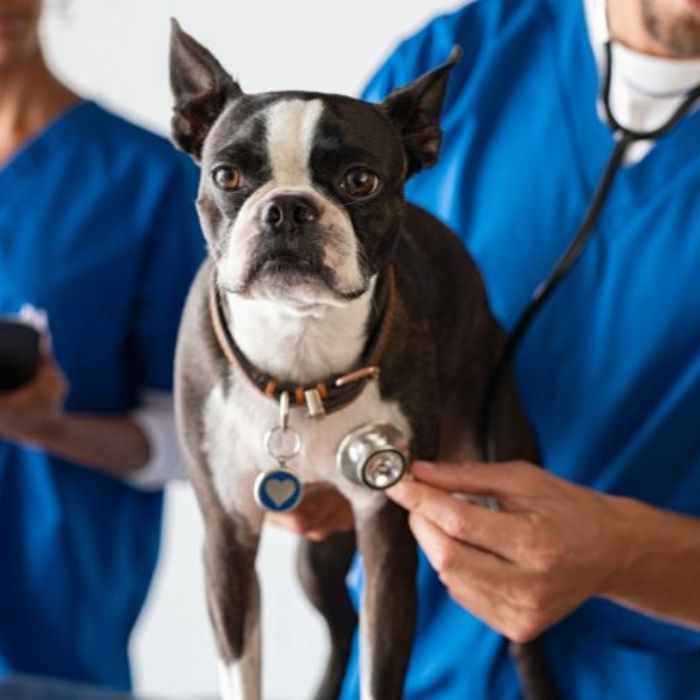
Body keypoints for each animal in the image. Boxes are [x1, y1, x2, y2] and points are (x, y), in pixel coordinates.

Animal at [170, 19, 540, 696]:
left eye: (360, 181)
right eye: (226, 177)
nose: (287, 207)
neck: (299, 353)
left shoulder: (387, 537)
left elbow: (381, 665)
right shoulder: (228, 540)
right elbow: (242, 669)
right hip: (317, 555)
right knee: (340, 623)